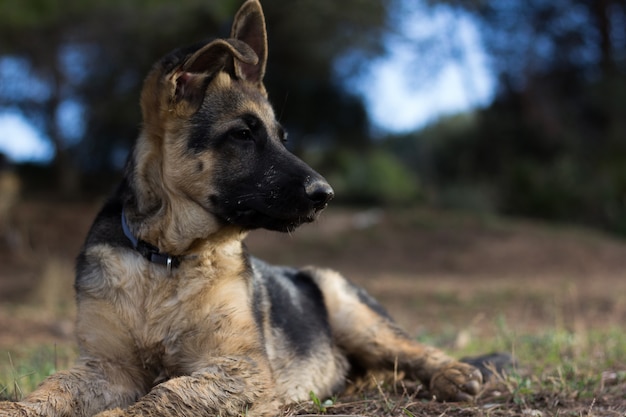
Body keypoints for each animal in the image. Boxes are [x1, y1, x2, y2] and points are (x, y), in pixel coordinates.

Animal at [0, 1, 488, 414]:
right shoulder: (105, 366)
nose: (326, 195)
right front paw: (18, 407)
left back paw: (454, 373)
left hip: (353, 312)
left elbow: (164, 394)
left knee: (410, 349)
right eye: (242, 134)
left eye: (282, 137)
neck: (166, 259)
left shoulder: (242, 366)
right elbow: (52, 389)